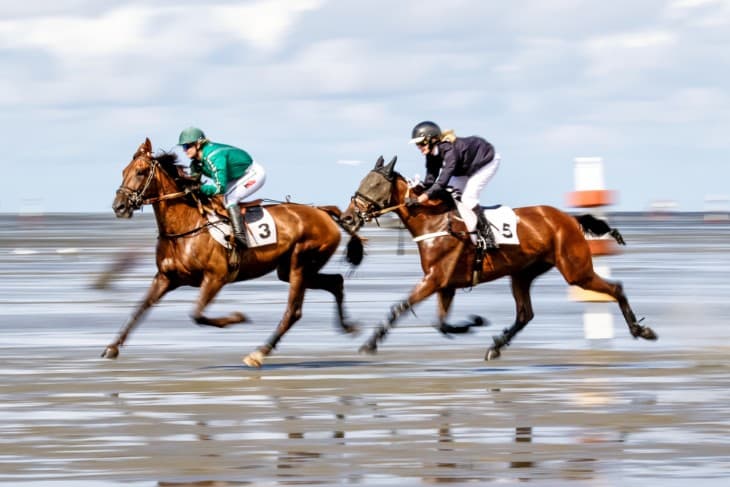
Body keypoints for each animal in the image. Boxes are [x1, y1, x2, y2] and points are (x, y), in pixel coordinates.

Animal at [106, 138, 364, 367]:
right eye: (123, 171)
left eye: (140, 172)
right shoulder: (165, 277)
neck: (185, 227)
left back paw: (259, 353)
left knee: (294, 311)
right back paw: (348, 326)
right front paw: (113, 347)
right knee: (336, 282)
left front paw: (236, 318)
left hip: (301, 263)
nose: (119, 206)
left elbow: (197, 314)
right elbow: (140, 308)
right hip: (289, 270)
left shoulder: (216, 277)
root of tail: (323, 212)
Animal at [340, 156, 657, 361]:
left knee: (615, 288)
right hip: (522, 273)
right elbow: (440, 323)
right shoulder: (446, 284)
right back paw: (497, 346)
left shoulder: (435, 279)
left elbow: (400, 308)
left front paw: (370, 344)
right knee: (525, 314)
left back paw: (641, 330)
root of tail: (568, 218)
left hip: (575, 269)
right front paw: (474, 322)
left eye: (374, 185)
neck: (434, 221)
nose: (347, 218)